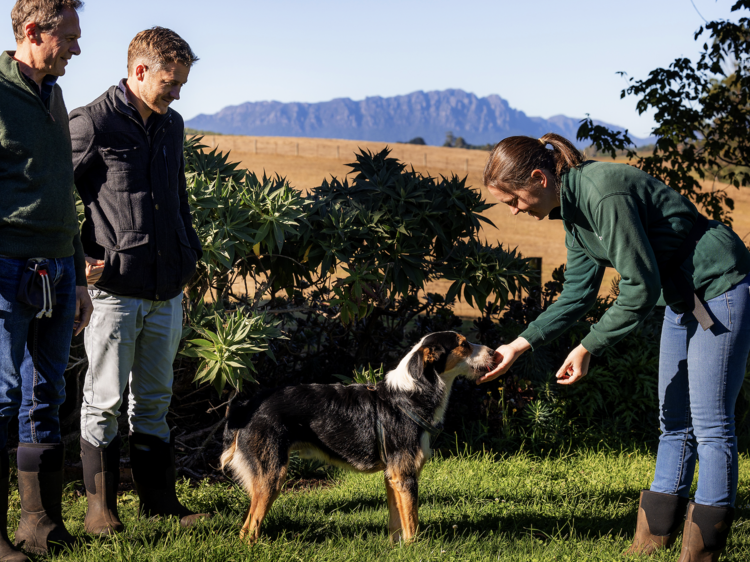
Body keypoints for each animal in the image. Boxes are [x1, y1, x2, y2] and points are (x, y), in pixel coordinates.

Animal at [220, 330, 496, 540]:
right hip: (271, 477)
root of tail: (246, 407)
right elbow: (412, 523)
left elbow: (397, 523)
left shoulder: (392, 476)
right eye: (464, 344)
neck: (410, 395)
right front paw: (416, 550)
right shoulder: (405, 476)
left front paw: (397, 550)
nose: (494, 352)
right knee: (249, 529)